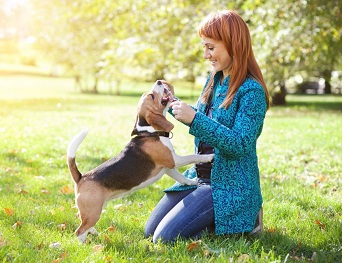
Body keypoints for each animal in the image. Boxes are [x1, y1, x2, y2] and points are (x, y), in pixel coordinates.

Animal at [65, 80, 213, 243]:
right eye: (152, 96)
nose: (159, 81)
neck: (150, 132)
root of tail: (81, 177)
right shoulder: (174, 160)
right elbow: (192, 157)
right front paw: (209, 157)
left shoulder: (168, 167)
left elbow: (181, 177)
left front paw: (192, 182)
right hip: (93, 211)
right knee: (79, 231)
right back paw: (85, 244)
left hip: (94, 209)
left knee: (82, 220)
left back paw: (95, 233)